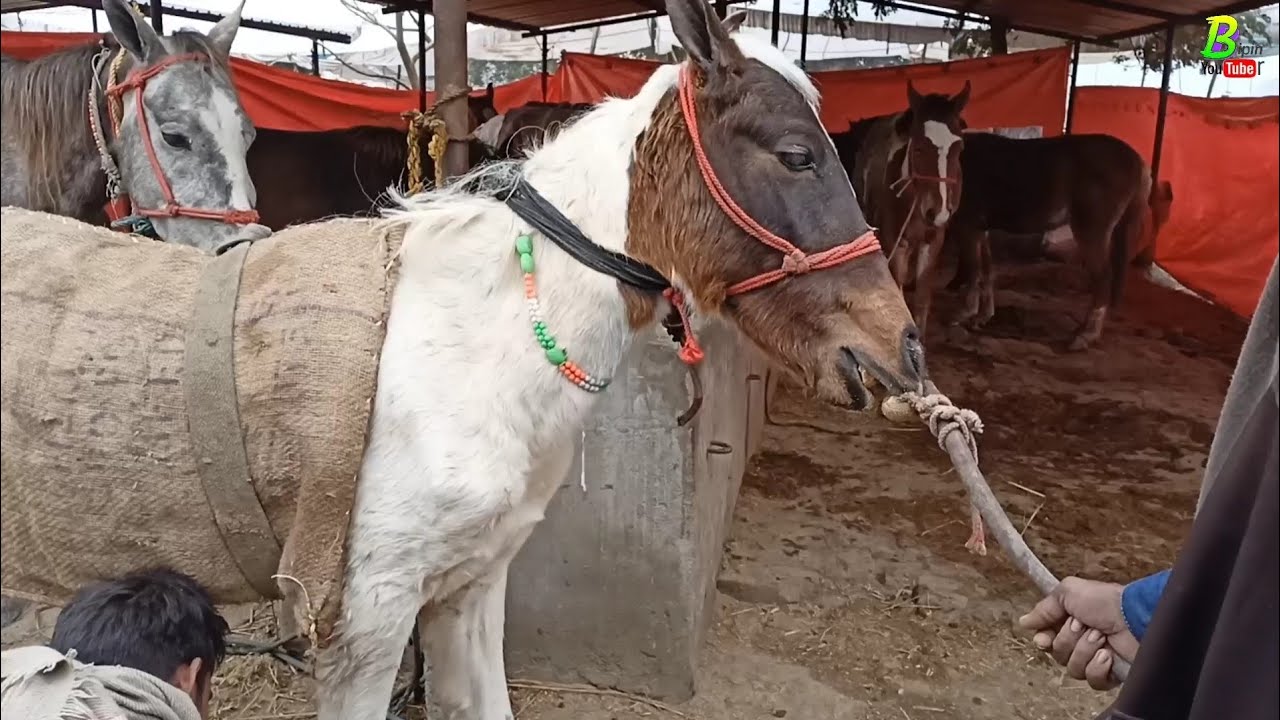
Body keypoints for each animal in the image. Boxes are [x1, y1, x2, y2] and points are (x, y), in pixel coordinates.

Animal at [831, 81, 969, 342]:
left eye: (959, 148)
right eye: (918, 148)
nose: (938, 212)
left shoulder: (932, 241)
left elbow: (922, 298)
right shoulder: (896, 241)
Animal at [945, 131, 1174, 350]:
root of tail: (1138, 162)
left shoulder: (968, 224)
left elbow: (973, 267)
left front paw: (963, 313)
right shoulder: (980, 228)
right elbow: (986, 268)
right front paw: (982, 316)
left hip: (1091, 229)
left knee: (1103, 277)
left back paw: (1084, 336)